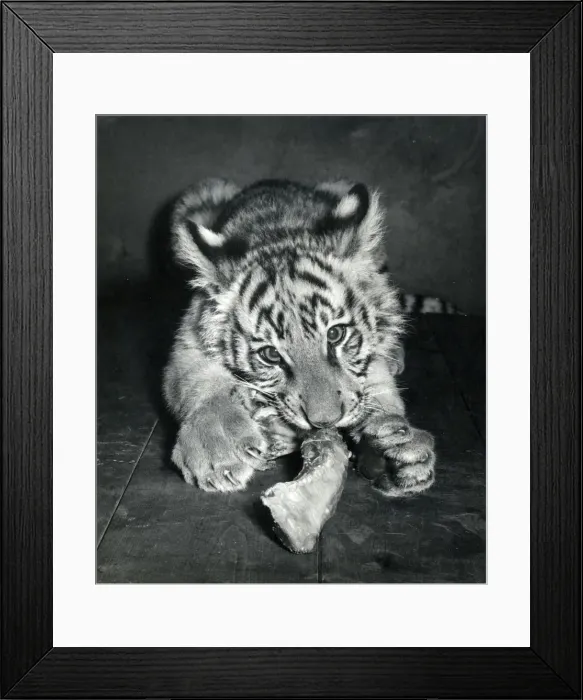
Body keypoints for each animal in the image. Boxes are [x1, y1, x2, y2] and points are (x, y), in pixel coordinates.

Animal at [163, 178, 438, 497]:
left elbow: (378, 382)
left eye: (336, 334)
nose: (325, 422)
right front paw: (217, 449)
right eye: (270, 355)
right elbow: (200, 381)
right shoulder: (188, 342)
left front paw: (397, 447)